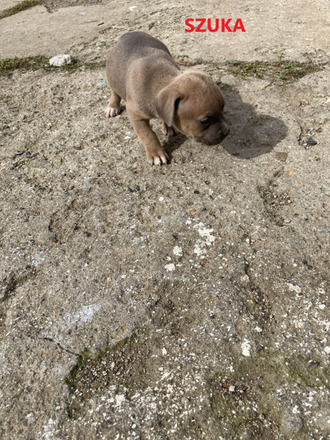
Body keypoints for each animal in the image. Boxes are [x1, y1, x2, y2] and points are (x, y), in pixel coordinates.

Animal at [105, 31, 229, 165]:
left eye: (223, 109)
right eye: (204, 121)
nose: (227, 132)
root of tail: (128, 34)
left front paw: (168, 126)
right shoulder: (136, 116)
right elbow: (148, 134)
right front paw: (156, 153)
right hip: (112, 77)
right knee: (114, 92)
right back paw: (112, 107)